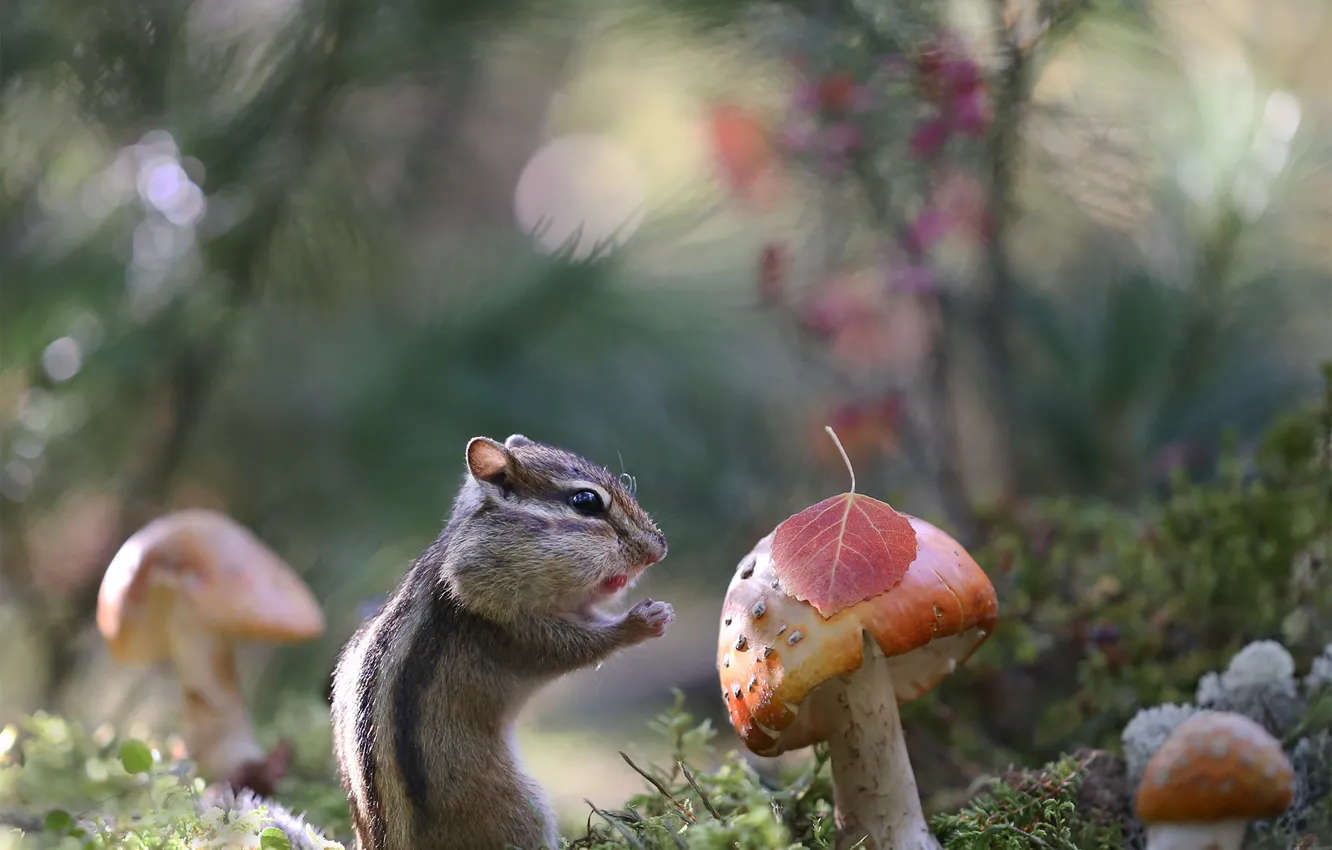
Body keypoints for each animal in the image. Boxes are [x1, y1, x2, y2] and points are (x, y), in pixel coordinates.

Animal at [329, 433, 674, 850]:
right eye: (586, 502)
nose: (659, 548)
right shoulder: (507, 624)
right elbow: (570, 646)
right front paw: (643, 621)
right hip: (519, 805)